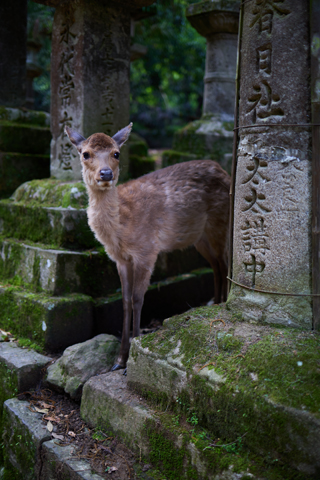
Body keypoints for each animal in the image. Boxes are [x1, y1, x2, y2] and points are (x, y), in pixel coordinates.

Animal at [65, 124, 230, 372]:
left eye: (116, 153)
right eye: (85, 154)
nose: (106, 174)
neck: (121, 229)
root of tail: (226, 172)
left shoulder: (147, 250)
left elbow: (137, 298)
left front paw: (132, 355)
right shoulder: (120, 258)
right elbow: (124, 301)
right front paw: (118, 360)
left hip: (220, 223)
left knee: (226, 264)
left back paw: (222, 302)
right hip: (199, 237)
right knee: (217, 266)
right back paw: (215, 302)